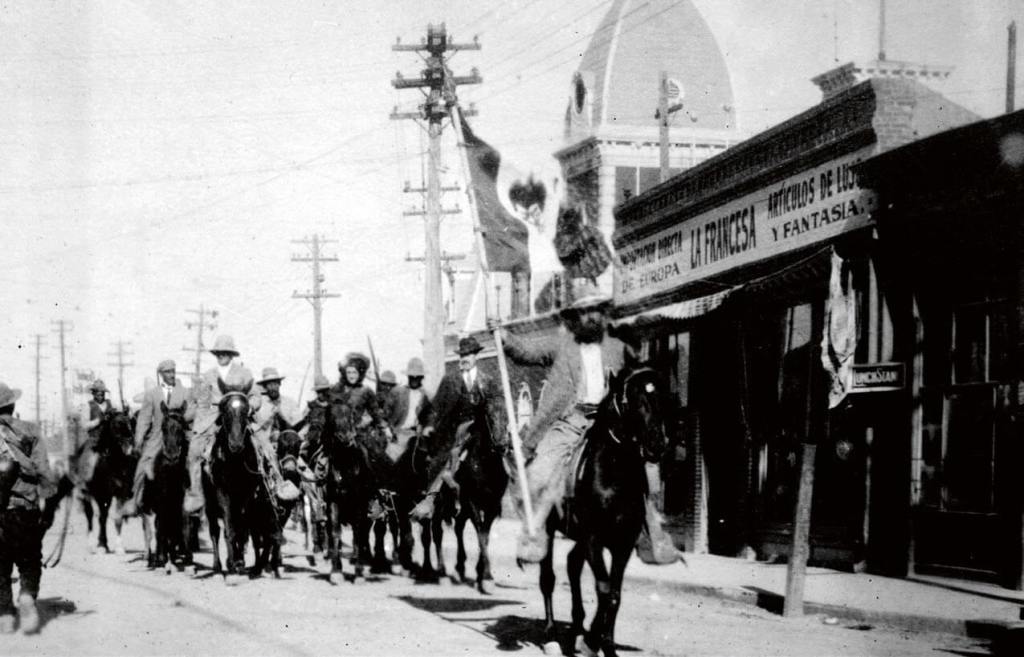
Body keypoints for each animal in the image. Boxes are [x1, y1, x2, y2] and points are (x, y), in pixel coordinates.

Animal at [143, 401, 192, 568]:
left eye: (182, 427)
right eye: (163, 428)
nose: (171, 456)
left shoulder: (182, 502)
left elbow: (183, 526)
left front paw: (186, 557)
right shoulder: (162, 503)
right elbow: (162, 527)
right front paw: (161, 557)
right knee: (155, 528)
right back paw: (154, 557)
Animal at [203, 384, 278, 577]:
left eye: (246, 413)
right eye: (225, 412)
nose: (236, 445)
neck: (234, 461)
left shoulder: (247, 495)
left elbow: (242, 528)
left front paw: (239, 562)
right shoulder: (222, 493)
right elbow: (230, 528)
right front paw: (232, 565)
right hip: (210, 503)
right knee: (215, 530)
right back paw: (218, 566)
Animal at [536, 366, 671, 650]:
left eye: (663, 398)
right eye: (631, 400)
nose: (657, 444)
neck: (615, 472)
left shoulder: (623, 543)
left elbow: (614, 594)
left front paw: (603, 643)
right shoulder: (593, 538)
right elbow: (604, 588)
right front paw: (592, 641)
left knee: (572, 565)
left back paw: (578, 626)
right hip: (547, 528)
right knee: (548, 578)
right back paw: (551, 634)